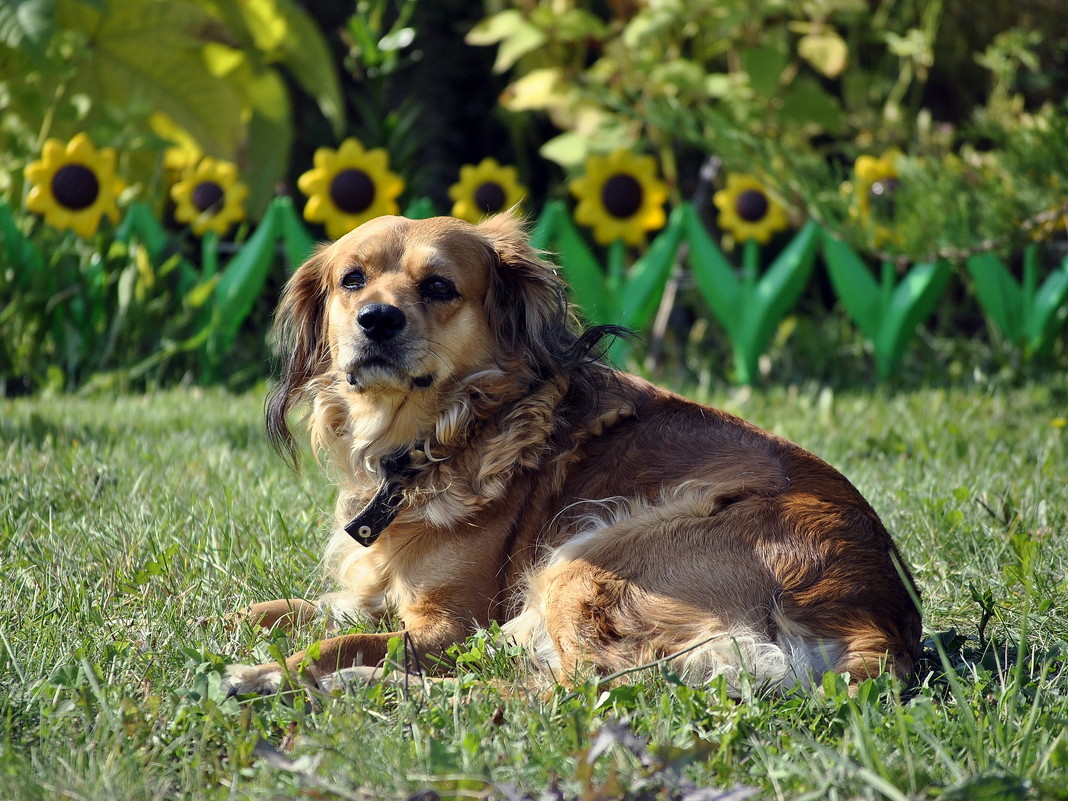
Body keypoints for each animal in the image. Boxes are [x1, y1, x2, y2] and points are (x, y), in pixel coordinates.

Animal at [221, 211, 922, 696]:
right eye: (352, 280)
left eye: (440, 286)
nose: (376, 319)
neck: (445, 435)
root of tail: (876, 618)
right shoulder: (376, 595)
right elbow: (280, 611)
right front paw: (237, 621)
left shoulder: (450, 624)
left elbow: (349, 639)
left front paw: (281, 668)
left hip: (588, 560)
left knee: (551, 694)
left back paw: (341, 686)